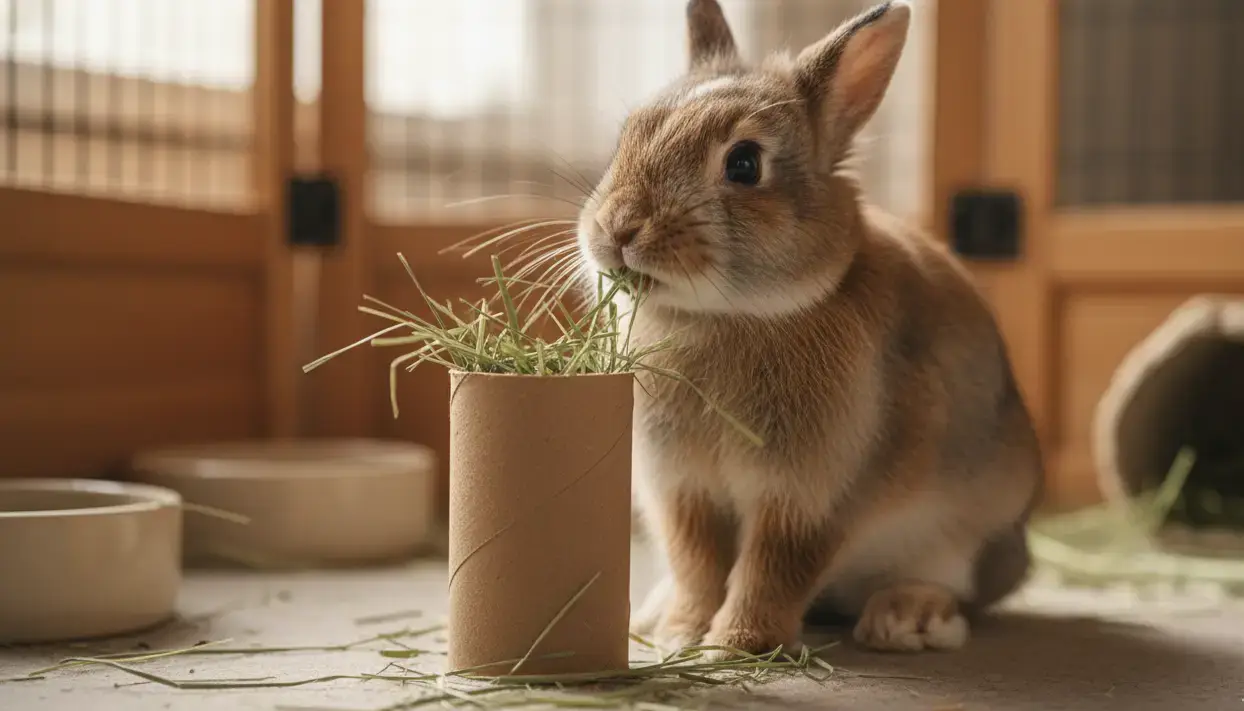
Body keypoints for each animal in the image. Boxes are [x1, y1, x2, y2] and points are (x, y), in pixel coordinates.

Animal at [573, 0, 1043, 656]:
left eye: (745, 164)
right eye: (628, 136)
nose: (618, 229)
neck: (727, 317)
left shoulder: (812, 494)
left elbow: (773, 568)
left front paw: (735, 644)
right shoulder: (684, 491)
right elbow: (697, 563)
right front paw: (680, 636)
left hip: (967, 533)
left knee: (959, 591)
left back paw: (907, 619)